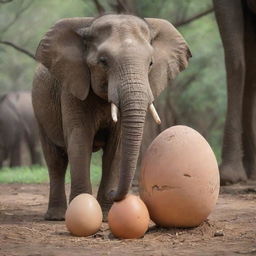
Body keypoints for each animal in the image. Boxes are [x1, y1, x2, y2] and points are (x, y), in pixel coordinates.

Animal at [32, 14, 191, 221]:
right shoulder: (73, 88)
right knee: (55, 160)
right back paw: (56, 217)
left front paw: (107, 215)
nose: (114, 193)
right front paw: (83, 208)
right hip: (39, 110)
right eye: (103, 61)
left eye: (150, 63)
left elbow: (117, 146)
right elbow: (79, 140)